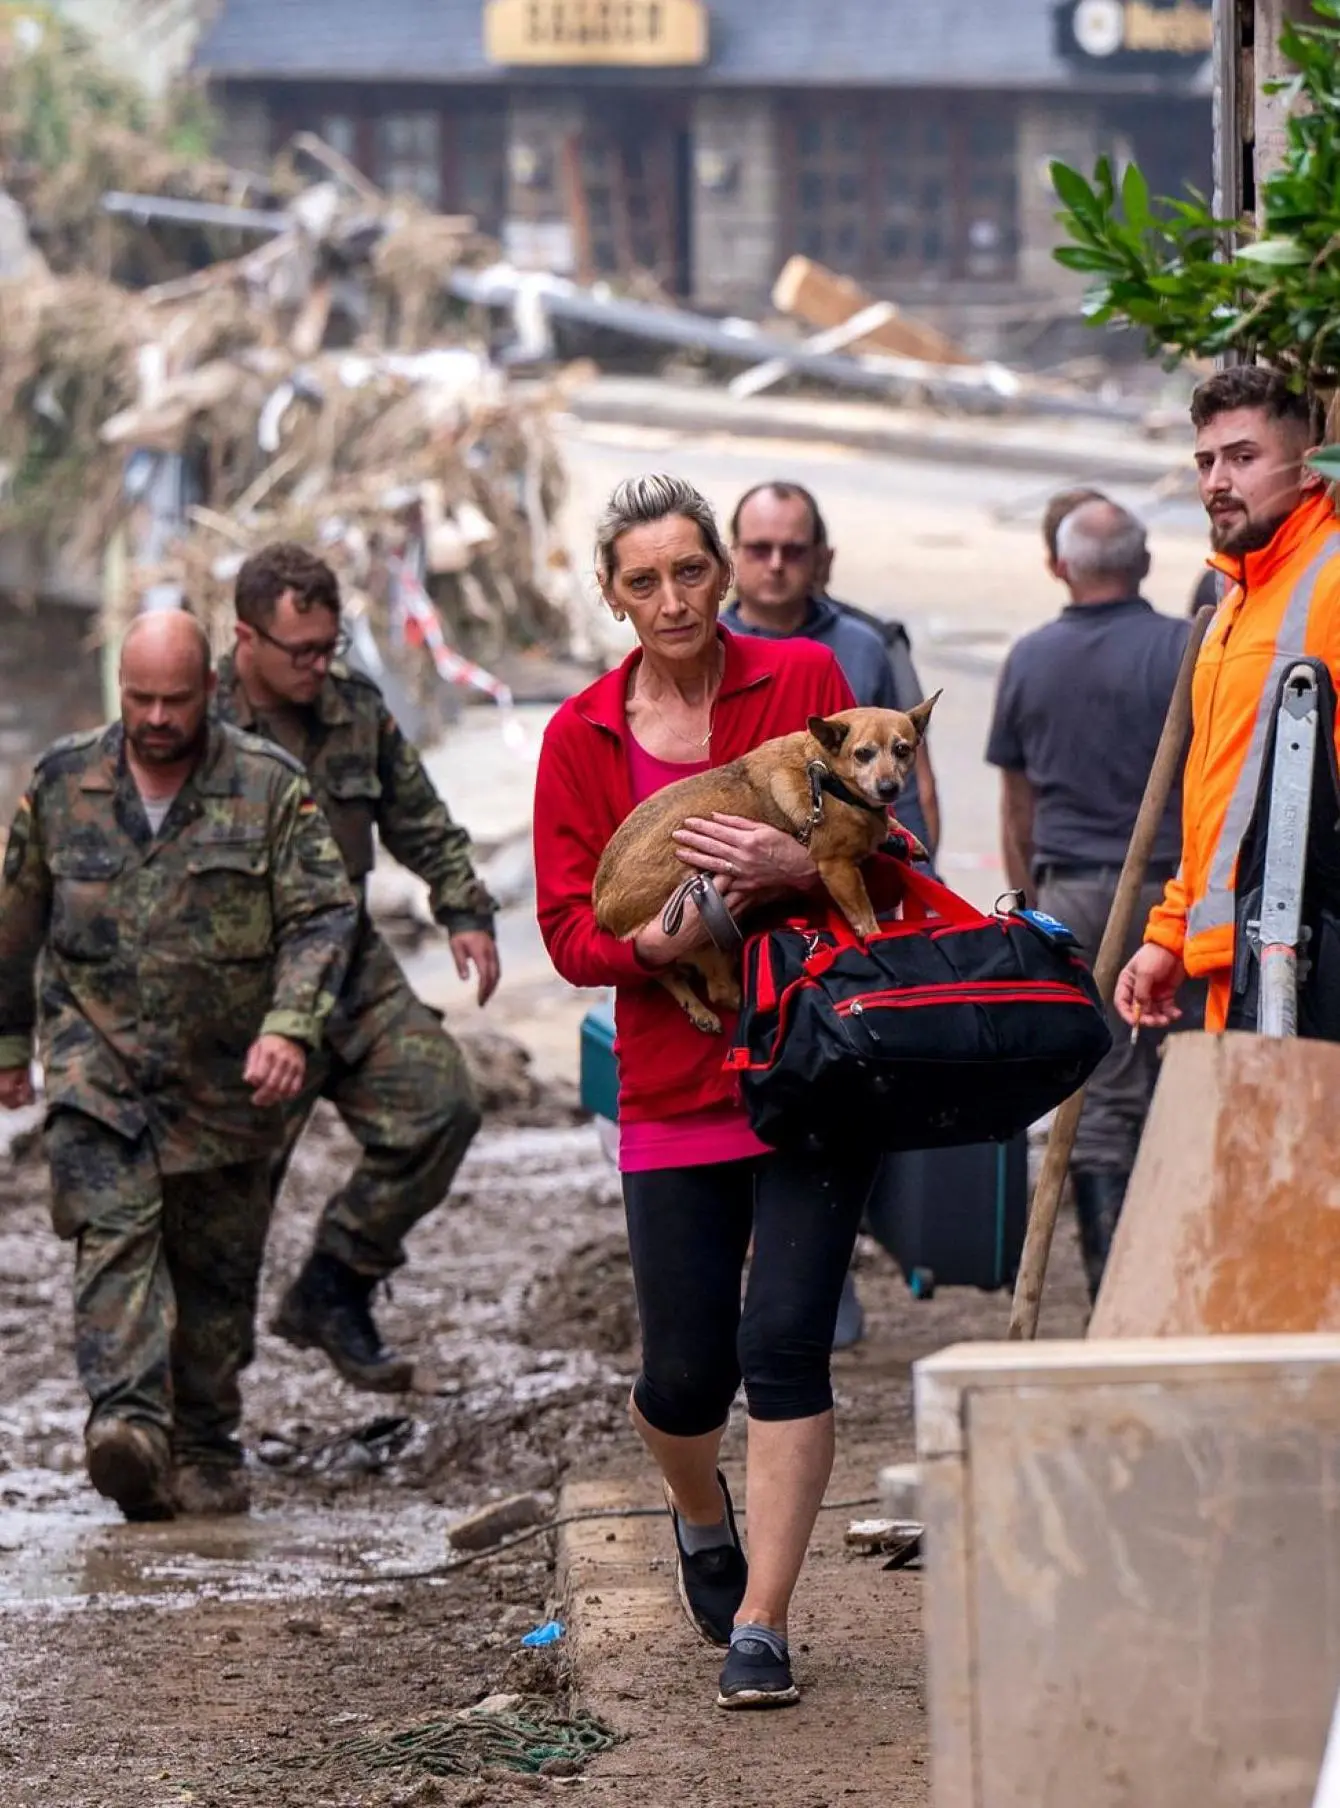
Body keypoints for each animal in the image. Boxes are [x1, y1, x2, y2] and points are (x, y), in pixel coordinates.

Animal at [589, 694, 933, 1026]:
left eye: (902, 750)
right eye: (863, 754)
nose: (888, 788)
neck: (824, 772)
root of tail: (603, 909)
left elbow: (888, 823)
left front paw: (908, 839)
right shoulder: (838, 869)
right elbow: (866, 919)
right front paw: (877, 943)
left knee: (670, 975)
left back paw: (701, 1010)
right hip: (703, 918)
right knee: (713, 989)